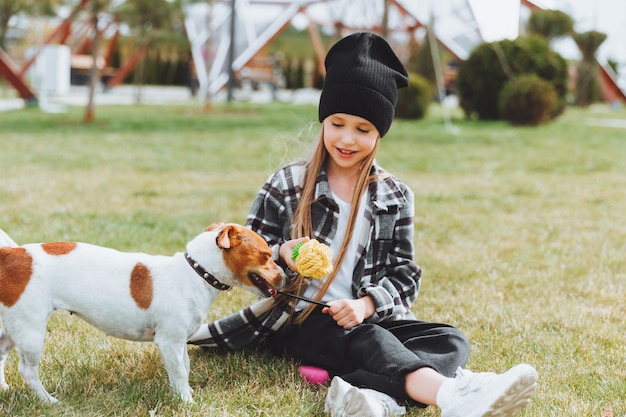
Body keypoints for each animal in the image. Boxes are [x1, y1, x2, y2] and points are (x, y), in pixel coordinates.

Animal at [0, 223, 282, 402]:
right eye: (266, 255)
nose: (284, 275)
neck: (194, 272)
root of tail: (13, 253)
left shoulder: (178, 343)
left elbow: (184, 367)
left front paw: (184, 393)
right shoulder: (168, 342)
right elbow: (180, 371)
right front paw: (186, 402)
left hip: (11, 331)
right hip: (30, 331)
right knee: (27, 371)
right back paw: (48, 400)